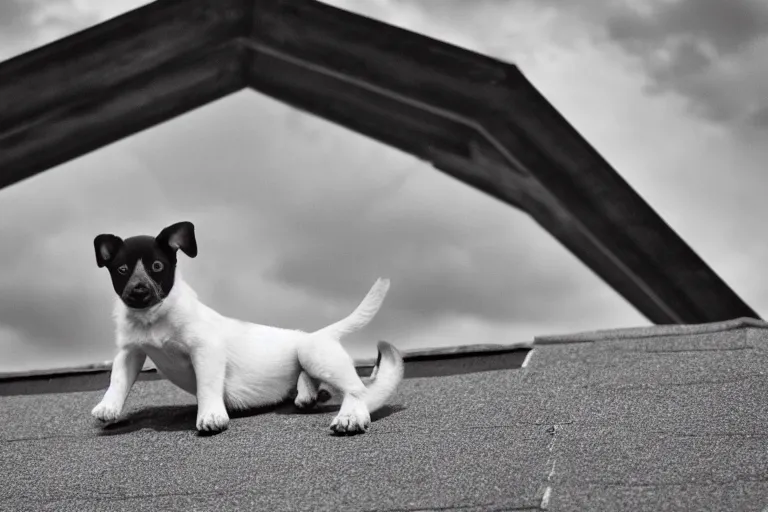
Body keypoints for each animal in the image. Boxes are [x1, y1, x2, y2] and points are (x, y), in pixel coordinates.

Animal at [91, 220, 404, 432]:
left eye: (157, 266)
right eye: (121, 270)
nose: (139, 291)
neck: (153, 318)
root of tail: (319, 334)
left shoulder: (205, 349)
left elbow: (207, 385)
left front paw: (210, 416)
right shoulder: (130, 352)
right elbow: (117, 381)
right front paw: (109, 407)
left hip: (312, 353)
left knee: (358, 391)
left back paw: (351, 416)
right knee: (315, 381)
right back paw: (305, 394)